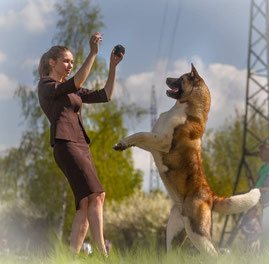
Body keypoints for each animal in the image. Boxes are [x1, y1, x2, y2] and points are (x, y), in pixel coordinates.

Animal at [113, 64, 260, 256]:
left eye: (181, 78)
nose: (167, 78)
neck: (184, 108)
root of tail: (211, 196)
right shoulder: (153, 144)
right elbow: (139, 138)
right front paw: (123, 145)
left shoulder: (161, 141)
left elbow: (140, 134)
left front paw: (122, 142)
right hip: (174, 231)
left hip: (198, 234)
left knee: (214, 254)